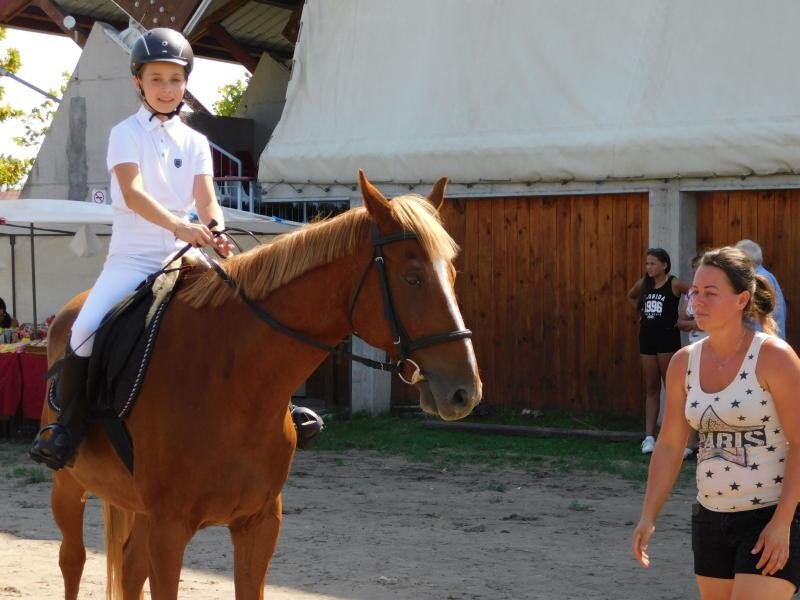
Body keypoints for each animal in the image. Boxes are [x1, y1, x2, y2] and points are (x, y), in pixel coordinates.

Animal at [40, 170, 482, 599]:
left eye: (452, 274)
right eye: (413, 278)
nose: (465, 392)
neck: (234, 382)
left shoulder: (260, 523)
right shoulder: (169, 529)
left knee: (130, 567)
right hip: (69, 484)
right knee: (72, 559)